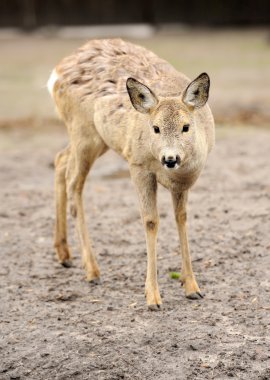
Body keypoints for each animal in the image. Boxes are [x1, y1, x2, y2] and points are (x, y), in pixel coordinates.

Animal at [47, 37, 214, 308]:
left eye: (186, 126)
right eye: (155, 128)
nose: (170, 158)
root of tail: (57, 72)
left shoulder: (182, 184)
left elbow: (181, 218)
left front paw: (192, 287)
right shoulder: (137, 165)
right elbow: (151, 221)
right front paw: (153, 297)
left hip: (96, 138)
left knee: (61, 159)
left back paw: (64, 254)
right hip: (83, 131)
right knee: (74, 182)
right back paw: (91, 269)